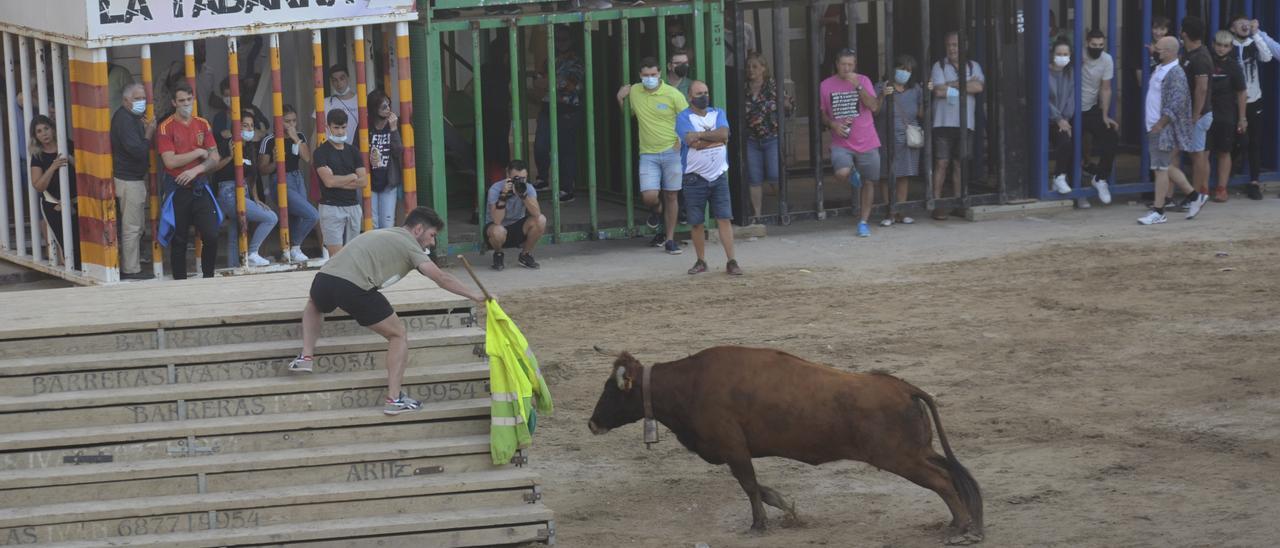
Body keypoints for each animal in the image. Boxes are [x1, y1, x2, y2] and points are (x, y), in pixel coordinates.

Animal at [586, 345, 983, 542]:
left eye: (610, 390)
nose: (592, 423)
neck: (690, 383)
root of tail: (902, 387)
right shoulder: (735, 452)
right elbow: (757, 487)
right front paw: (785, 507)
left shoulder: (734, 449)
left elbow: (749, 486)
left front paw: (760, 524)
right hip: (917, 451)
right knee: (954, 474)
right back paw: (963, 523)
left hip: (901, 457)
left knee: (943, 480)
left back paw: (961, 528)